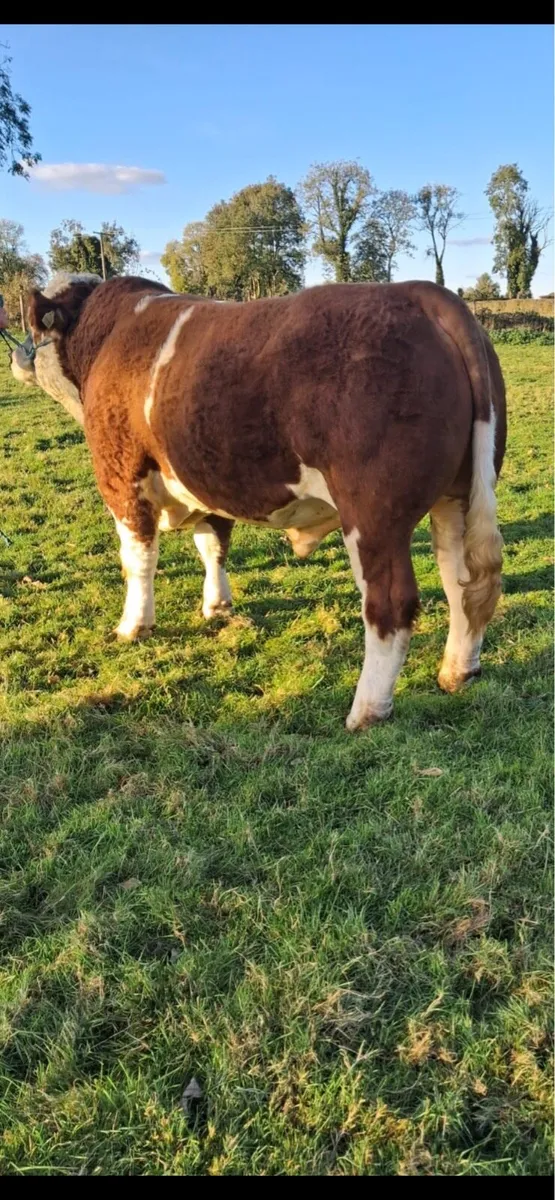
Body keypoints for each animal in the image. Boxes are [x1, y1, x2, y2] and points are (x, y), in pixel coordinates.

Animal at [11, 272, 506, 731]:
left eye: (34, 326)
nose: (18, 355)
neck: (107, 334)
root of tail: (421, 291)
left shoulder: (121, 476)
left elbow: (138, 559)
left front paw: (133, 625)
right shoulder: (206, 478)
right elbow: (212, 545)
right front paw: (217, 606)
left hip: (374, 517)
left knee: (391, 604)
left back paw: (366, 710)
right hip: (456, 498)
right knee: (461, 583)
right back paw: (457, 672)